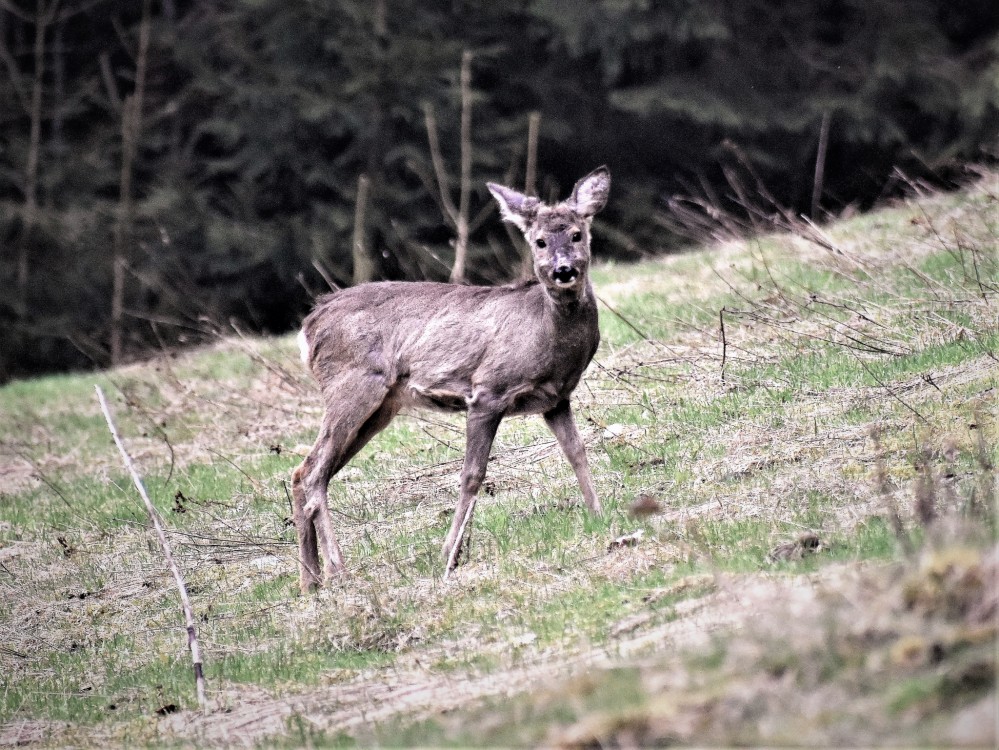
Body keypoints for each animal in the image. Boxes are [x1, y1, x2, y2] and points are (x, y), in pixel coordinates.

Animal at [290, 164, 608, 592]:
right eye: (539, 241)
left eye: (577, 234)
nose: (563, 271)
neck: (545, 333)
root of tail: (309, 326)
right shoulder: (487, 391)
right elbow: (472, 475)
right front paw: (449, 555)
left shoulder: (556, 399)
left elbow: (577, 453)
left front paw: (599, 515)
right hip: (353, 384)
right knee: (312, 471)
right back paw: (338, 571)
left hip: (380, 407)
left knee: (306, 472)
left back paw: (311, 581)